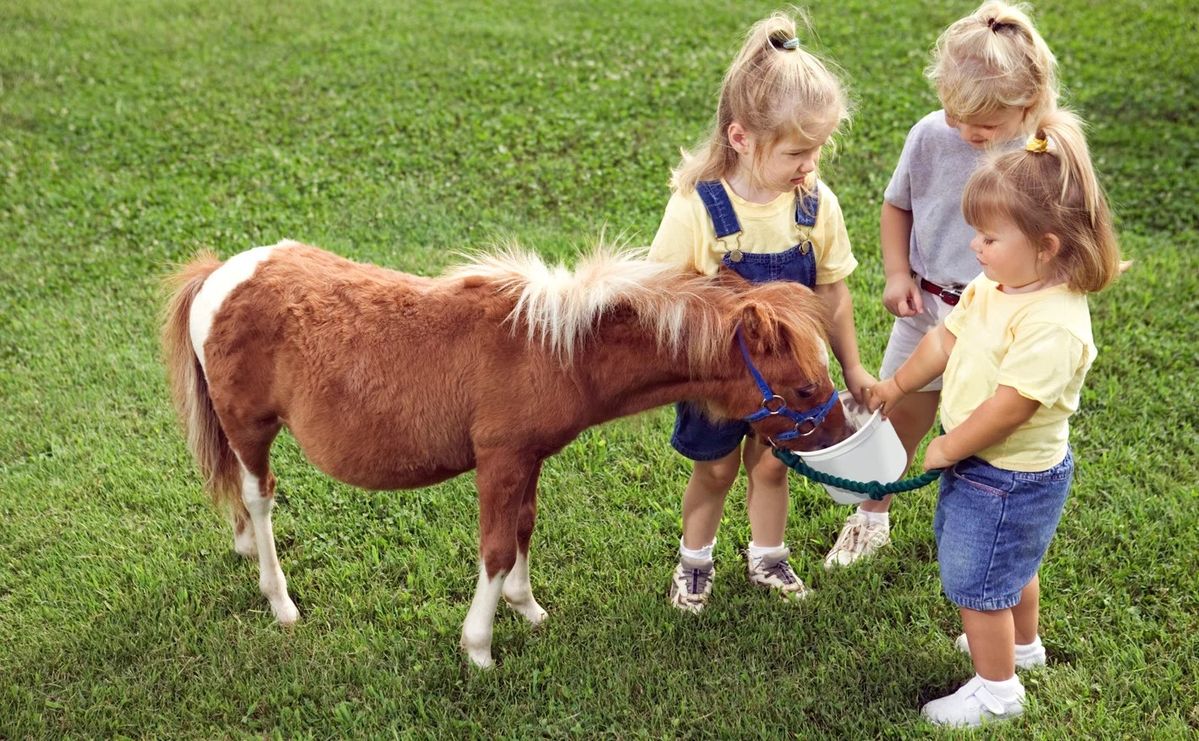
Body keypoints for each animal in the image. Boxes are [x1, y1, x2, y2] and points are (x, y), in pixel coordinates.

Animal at [161, 239, 853, 667]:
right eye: (804, 388)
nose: (842, 437)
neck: (552, 349)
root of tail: (219, 275)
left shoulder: (529, 460)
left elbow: (524, 528)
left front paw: (529, 610)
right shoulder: (498, 462)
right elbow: (494, 549)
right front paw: (480, 647)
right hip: (251, 429)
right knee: (260, 498)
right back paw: (280, 601)